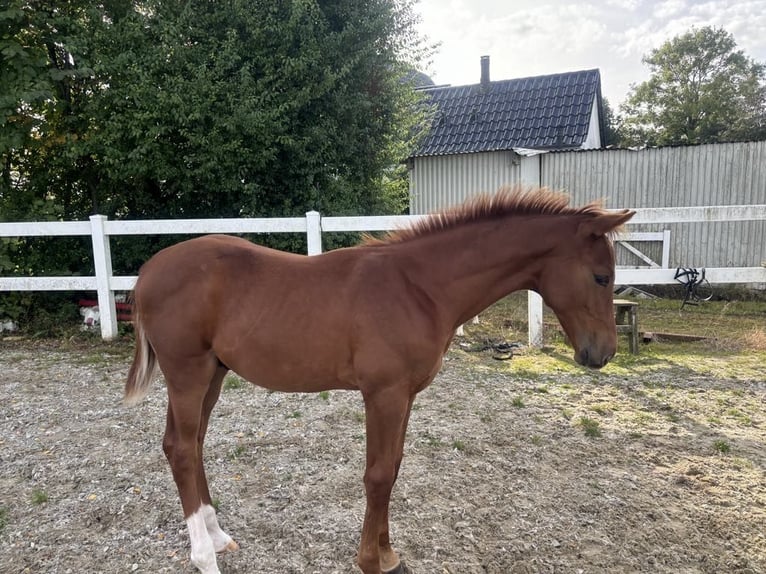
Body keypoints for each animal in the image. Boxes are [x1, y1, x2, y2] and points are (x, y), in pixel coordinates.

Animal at [121, 187, 636, 572]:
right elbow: (379, 475)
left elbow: (394, 468)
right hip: (188, 373)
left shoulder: (404, 396)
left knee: (189, 446)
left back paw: (217, 536)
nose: (602, 354)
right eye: (600, 276)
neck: (419, 287)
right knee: (183, 449)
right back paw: (203, 556)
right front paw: (372, 560)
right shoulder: (383, 395)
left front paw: (387, 554)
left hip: (213, 374)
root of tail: (147, 272)